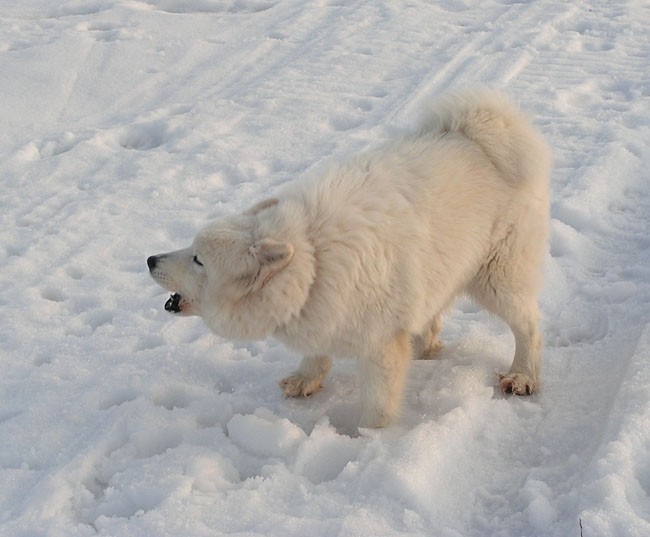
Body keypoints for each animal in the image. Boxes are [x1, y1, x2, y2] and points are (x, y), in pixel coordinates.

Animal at [146, 90, 548, 430]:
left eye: (198, 260)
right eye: (191, 247)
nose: (150, 259)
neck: (312, 258)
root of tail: (479, 133)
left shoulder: (379, 346)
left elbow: (378, 405)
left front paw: (368, 440)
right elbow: (316, 353)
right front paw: (306, 379)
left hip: (497, 278)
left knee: (528, 325)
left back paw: (523, 375)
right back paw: (423, 346)